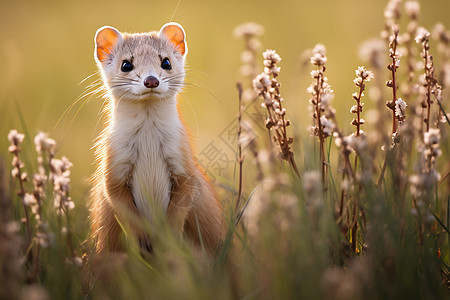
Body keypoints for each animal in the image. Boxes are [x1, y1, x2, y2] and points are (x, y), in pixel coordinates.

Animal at [89, 22, 225, 254]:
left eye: (166, 62)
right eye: (126, 64)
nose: (151, 80)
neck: (148, 141)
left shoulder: (183, 161)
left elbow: (183, 199)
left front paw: (169, 238)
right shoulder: (113, 164)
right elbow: (118, 199)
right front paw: (144, 239)